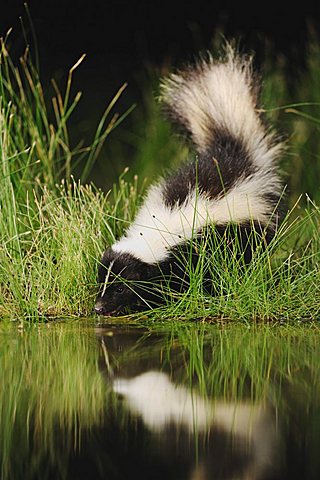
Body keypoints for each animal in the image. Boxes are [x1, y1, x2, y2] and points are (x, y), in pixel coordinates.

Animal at [95, 44, 282, 316]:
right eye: (102, 281)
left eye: (121, 288)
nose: (99, 307)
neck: (160, 229)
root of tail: (230, 153)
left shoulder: (196, 249)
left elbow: (193, 276)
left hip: (251, 228)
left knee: (250, 257)